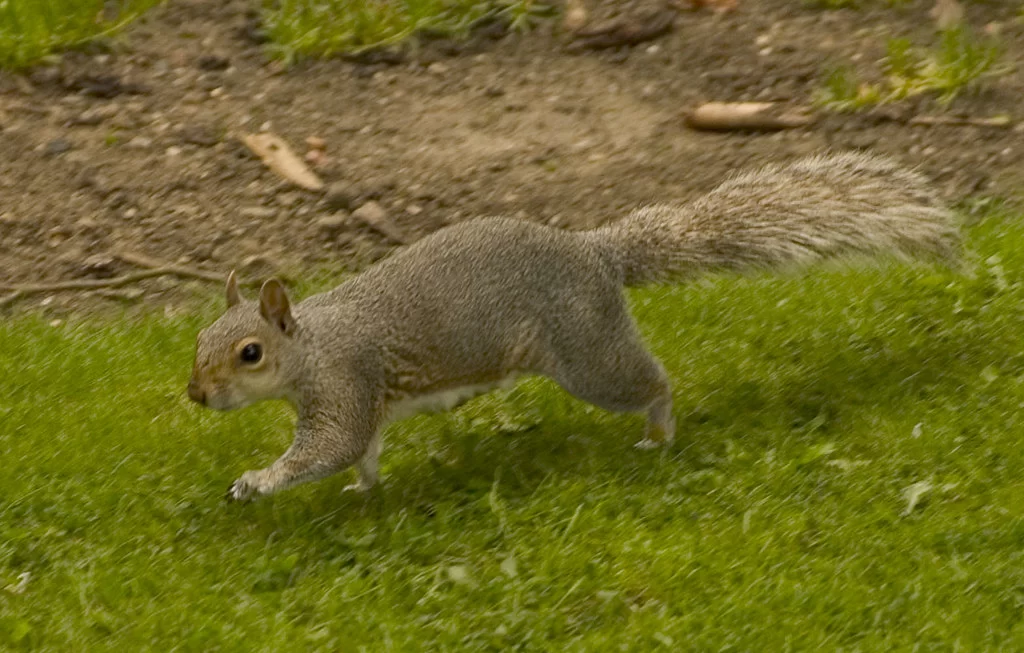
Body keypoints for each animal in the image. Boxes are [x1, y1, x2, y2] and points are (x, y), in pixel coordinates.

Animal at [188, 152, 962, 501]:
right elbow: (364, 450)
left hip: (590, 357)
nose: (195, 395)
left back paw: (659, 431)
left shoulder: (347, 380)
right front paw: (363, 491)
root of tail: (597, 253)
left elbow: (329, 447)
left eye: (250, 353)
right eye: (197, 342)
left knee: (653, 384)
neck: (312, 343)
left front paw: (256, 480)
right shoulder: (364, 401)